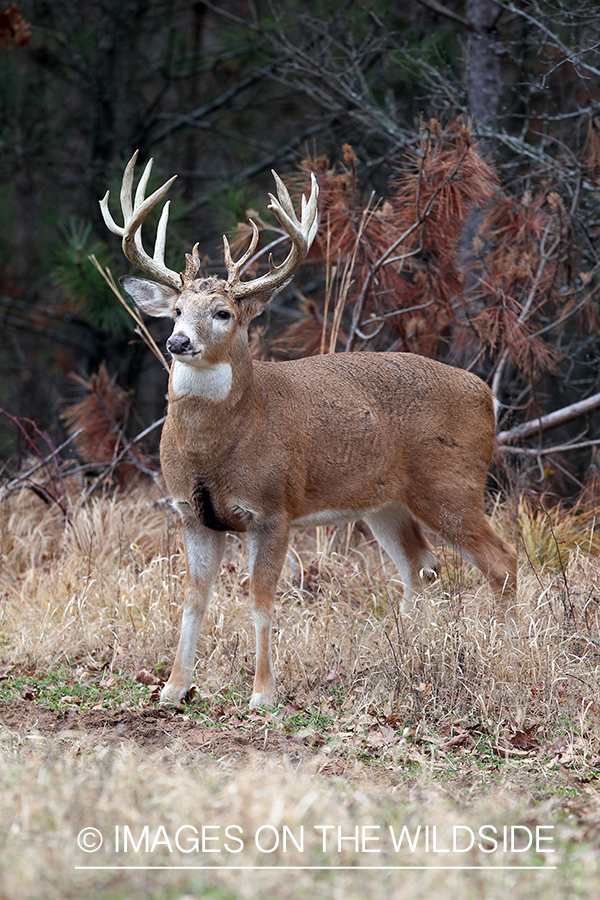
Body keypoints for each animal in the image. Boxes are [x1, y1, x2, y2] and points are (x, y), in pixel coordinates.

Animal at [101, 149, 516, 712]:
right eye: (178, 309)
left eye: (223, 312)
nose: (178, 341)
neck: (217, 447)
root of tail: (486, 394)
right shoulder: (191, 512)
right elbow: (192, 598)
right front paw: (173, 688)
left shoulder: (272, 508)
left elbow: (260, 599)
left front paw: (262, 694)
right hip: (386, 503)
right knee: (421, 566)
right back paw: (404, 653)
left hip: (452, 484)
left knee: (501, 562)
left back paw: (507, 651)